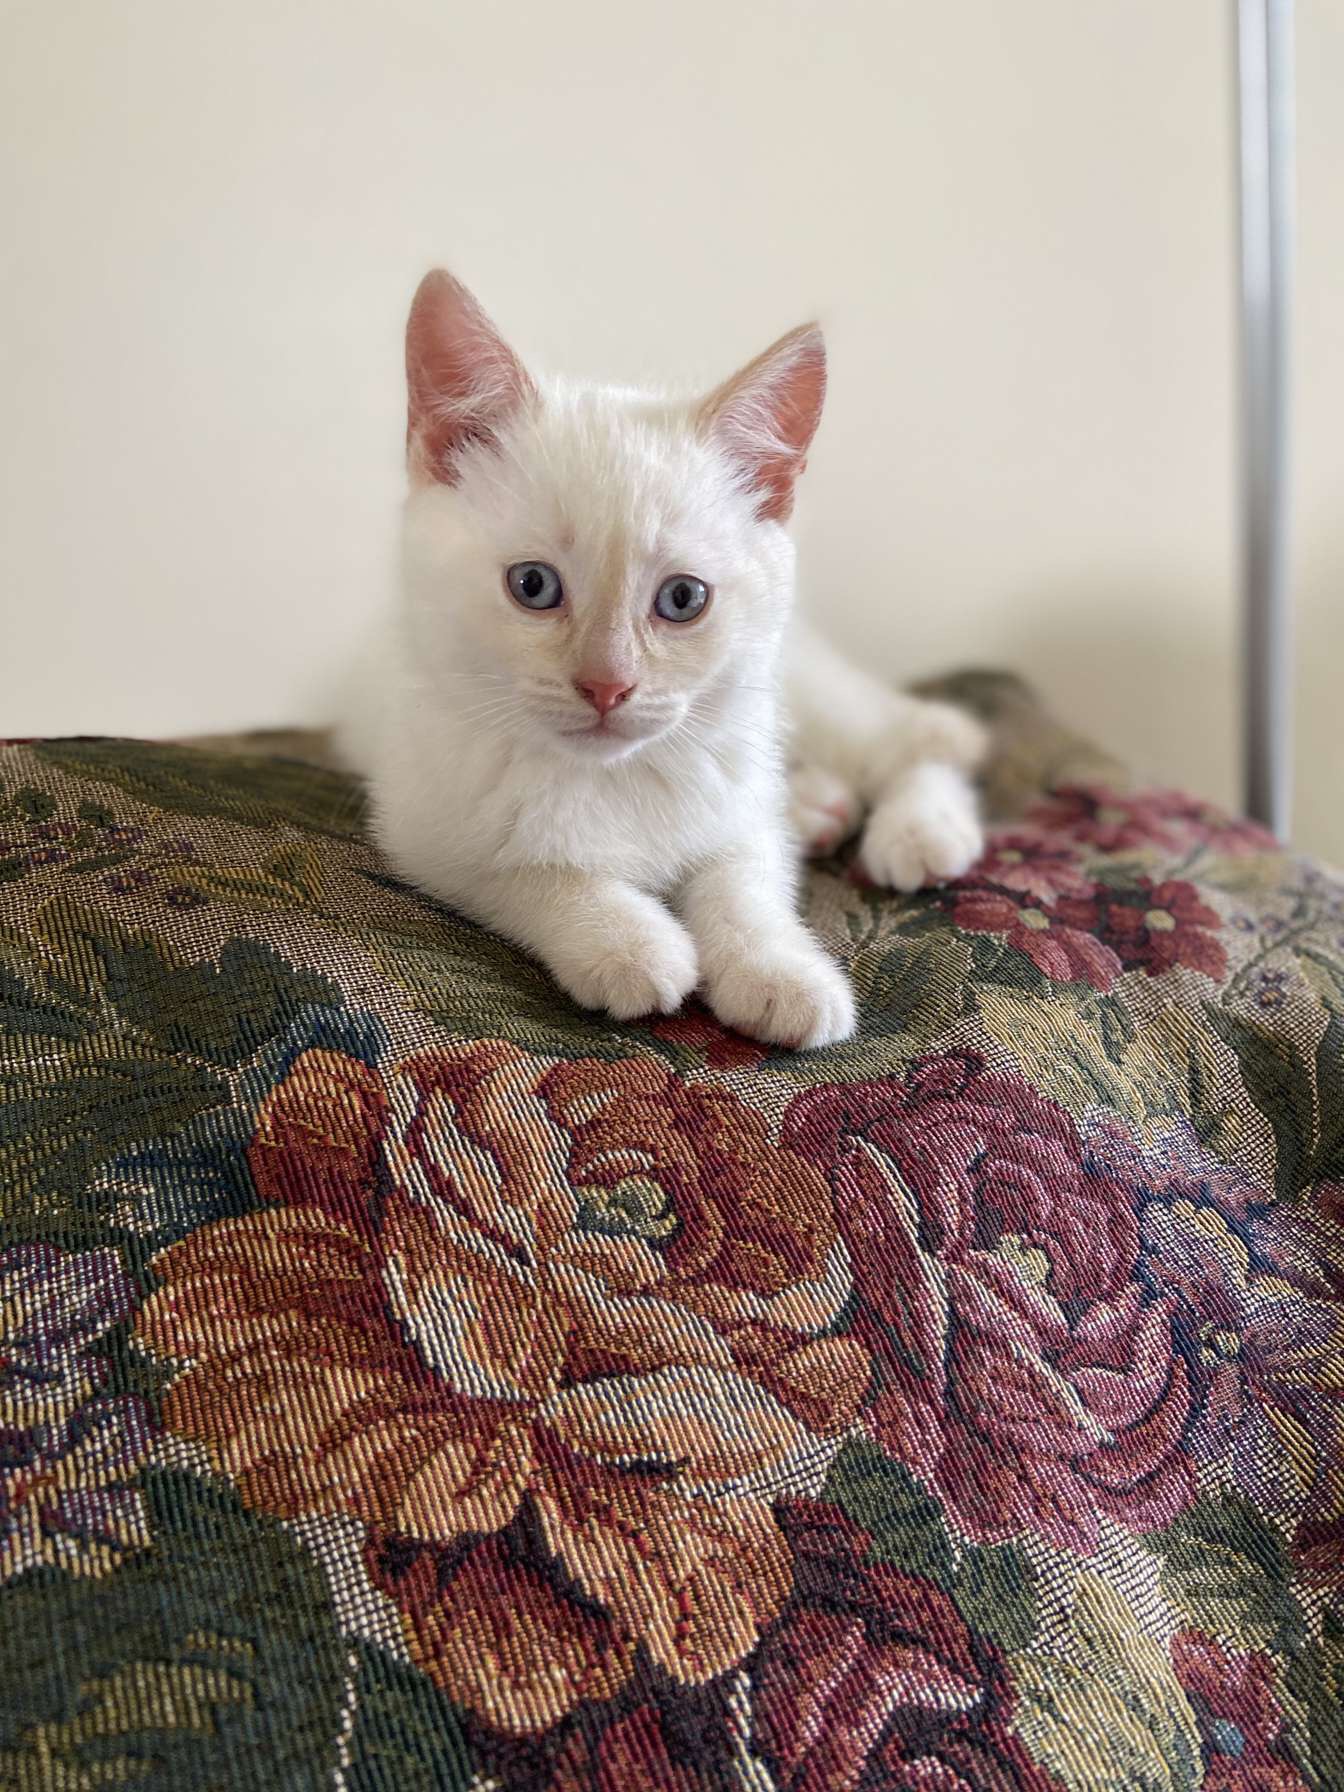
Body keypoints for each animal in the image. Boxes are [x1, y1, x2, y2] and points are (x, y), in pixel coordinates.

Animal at [338, 268, 989, 1046]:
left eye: (683, 598)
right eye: (533, 585)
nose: (607, 685)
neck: (615, 778)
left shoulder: (740, 808)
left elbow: (743, 876)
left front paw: (778, 970)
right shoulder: (424, 829)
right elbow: (523, 870)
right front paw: (628, 942)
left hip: (794, 686)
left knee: (904, 740)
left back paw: (923, 828)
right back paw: (818, 806)